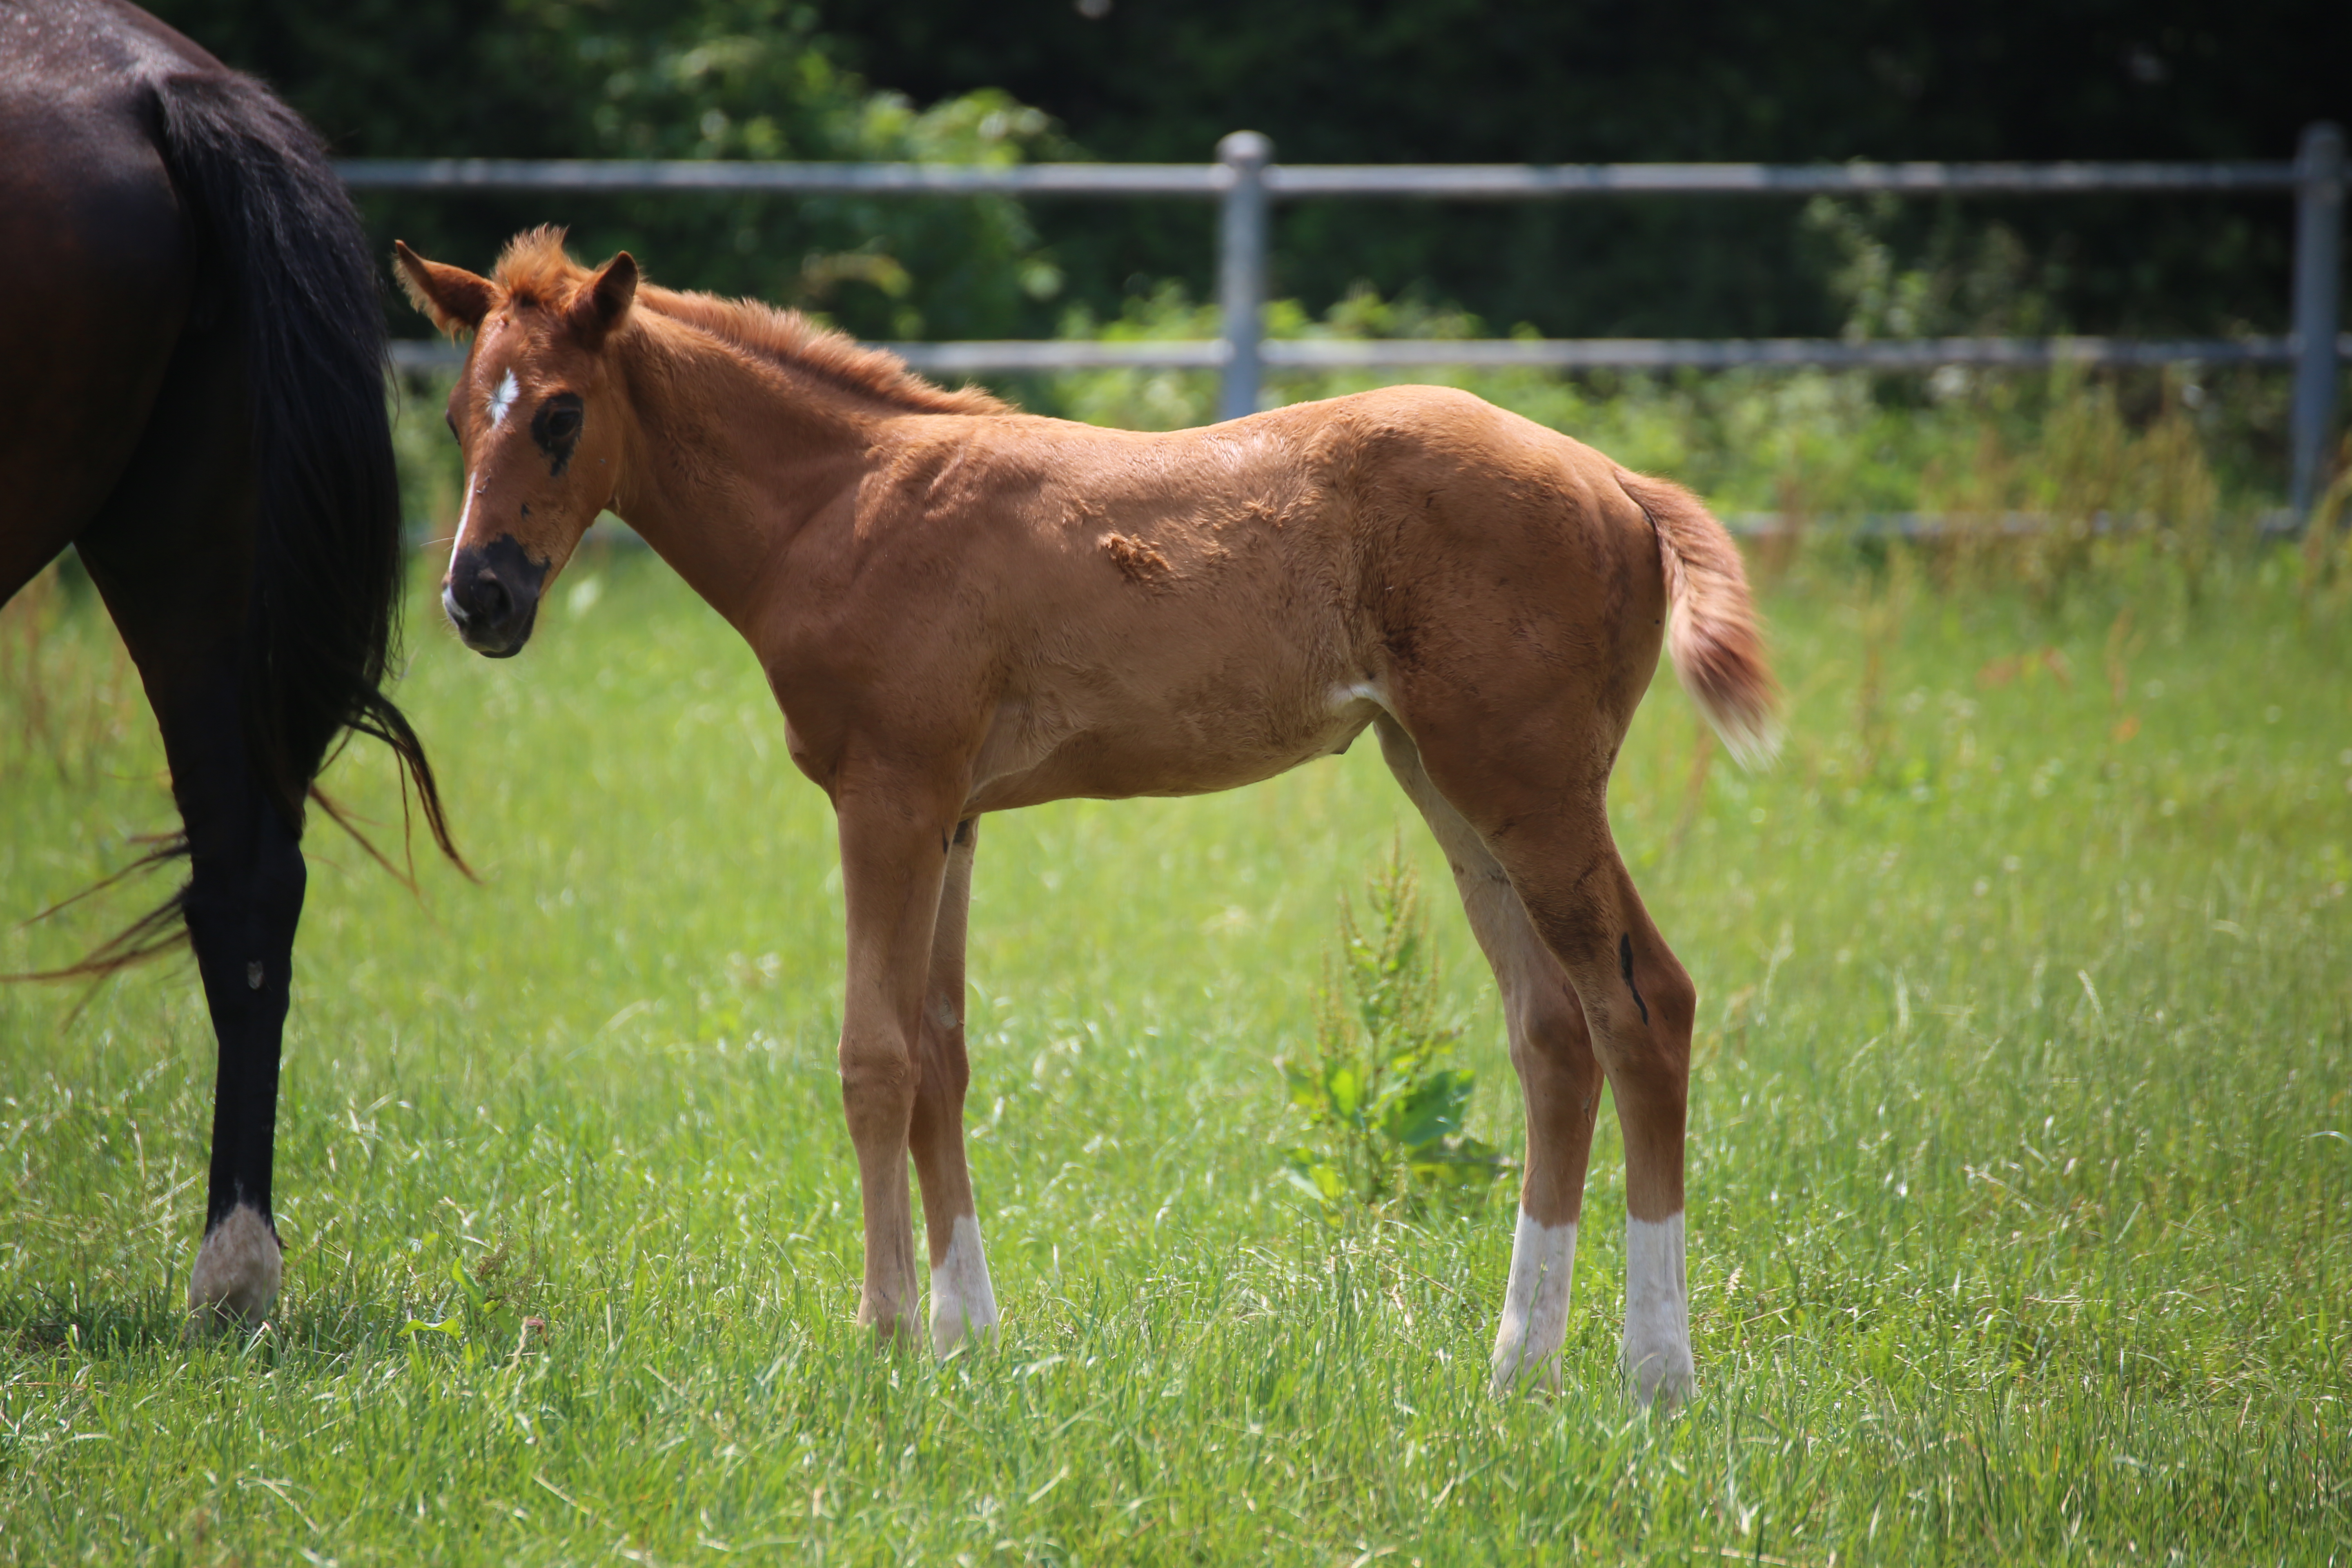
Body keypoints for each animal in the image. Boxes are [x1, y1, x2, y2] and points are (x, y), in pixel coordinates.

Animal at [395, 227, 1768, 1401]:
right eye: (459, 417)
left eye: (562, 415)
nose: (479, 599)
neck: (841, 509)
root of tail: (1617, 482)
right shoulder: (953, 816)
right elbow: (942, 1056)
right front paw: (970, 1337)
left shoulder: (886, 798)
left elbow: (874, 1057)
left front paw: (886, 1336)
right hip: (1448, 781)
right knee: (1552, 1034)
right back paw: (1518, 1366)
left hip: (1527, 783)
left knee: (1647, 1005)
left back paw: (1657, 1374)